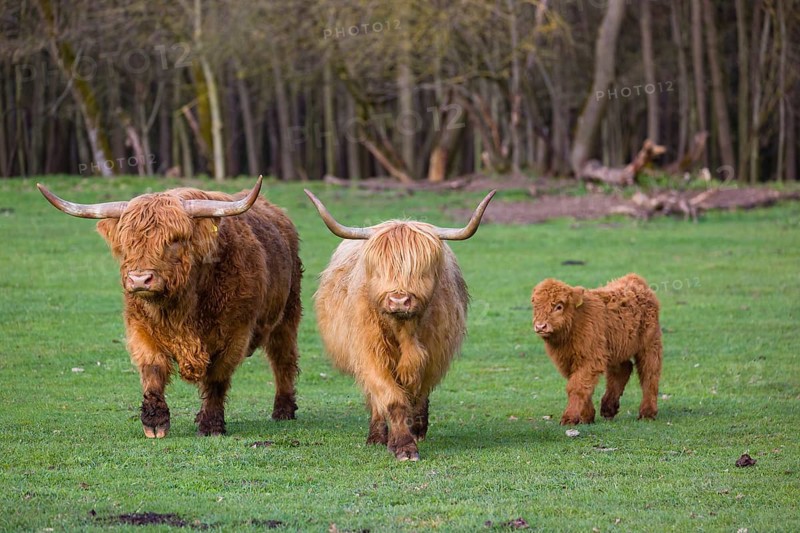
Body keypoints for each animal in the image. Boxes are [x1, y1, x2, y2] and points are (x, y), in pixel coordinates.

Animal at [37, 177, 302, 437]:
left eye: (173, 240)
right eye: (126, 242)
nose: (139, 279)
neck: (181, 309)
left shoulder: (236, 333)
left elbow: (217, 377)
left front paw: (211, 425)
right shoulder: (140, 328)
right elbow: (153, 369)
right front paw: (155, 422)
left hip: (287, 315)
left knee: (283, 359)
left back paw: (283, 410)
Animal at [306, 189, 495, 461]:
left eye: (422, 270)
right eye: (378, 268)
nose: (399, 300)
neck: (404, 330)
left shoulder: (432, 357)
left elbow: (416, 396)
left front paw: (413, 432)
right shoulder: (370, 355)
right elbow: (391, 398)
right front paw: (403, 446)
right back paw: (376, 436)